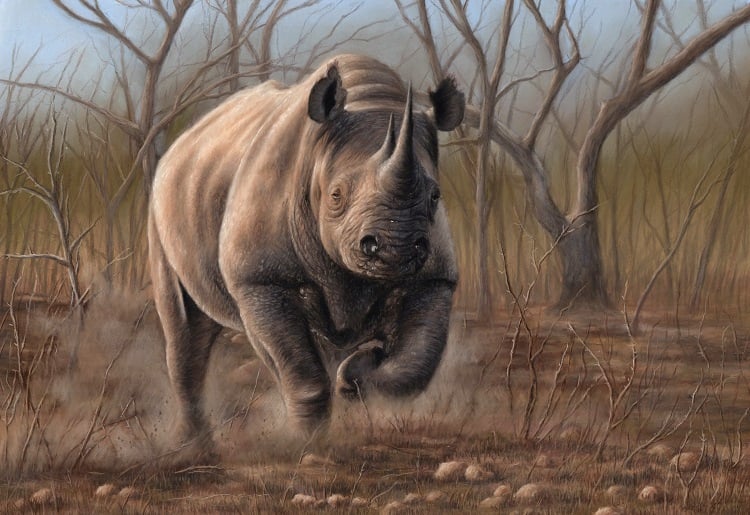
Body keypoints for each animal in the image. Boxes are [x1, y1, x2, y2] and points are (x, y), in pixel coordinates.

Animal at [148, 54, 465, 451]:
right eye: (336, 196)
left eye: (435, 196)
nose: (396, 248)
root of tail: (185, 139)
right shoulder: (260, 279)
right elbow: (299, 369)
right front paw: (307, 443)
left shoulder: (435, 276)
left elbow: (417, 363)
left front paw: (356, 375)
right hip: (161, 202)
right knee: (184, 326)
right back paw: (192, 446)